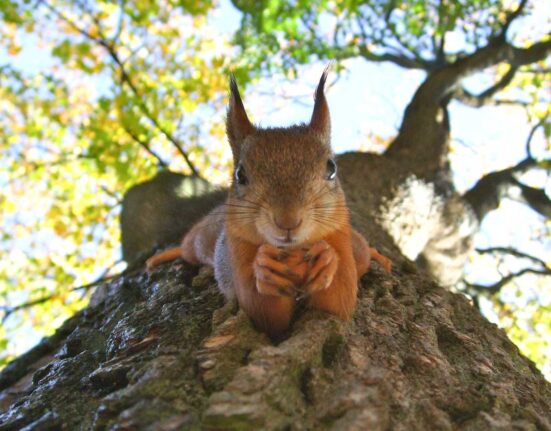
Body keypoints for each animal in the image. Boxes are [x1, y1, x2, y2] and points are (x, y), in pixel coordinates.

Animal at [146, 69, 391, 338]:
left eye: (331, 168)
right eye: (240, 175)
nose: (288, 221)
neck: (293, 253)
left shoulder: (340, 240)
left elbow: (339, 302)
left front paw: (326, 259)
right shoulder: (238, 253)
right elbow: (264, 314)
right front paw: (264, 267)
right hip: (202, 240)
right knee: (188, 247)